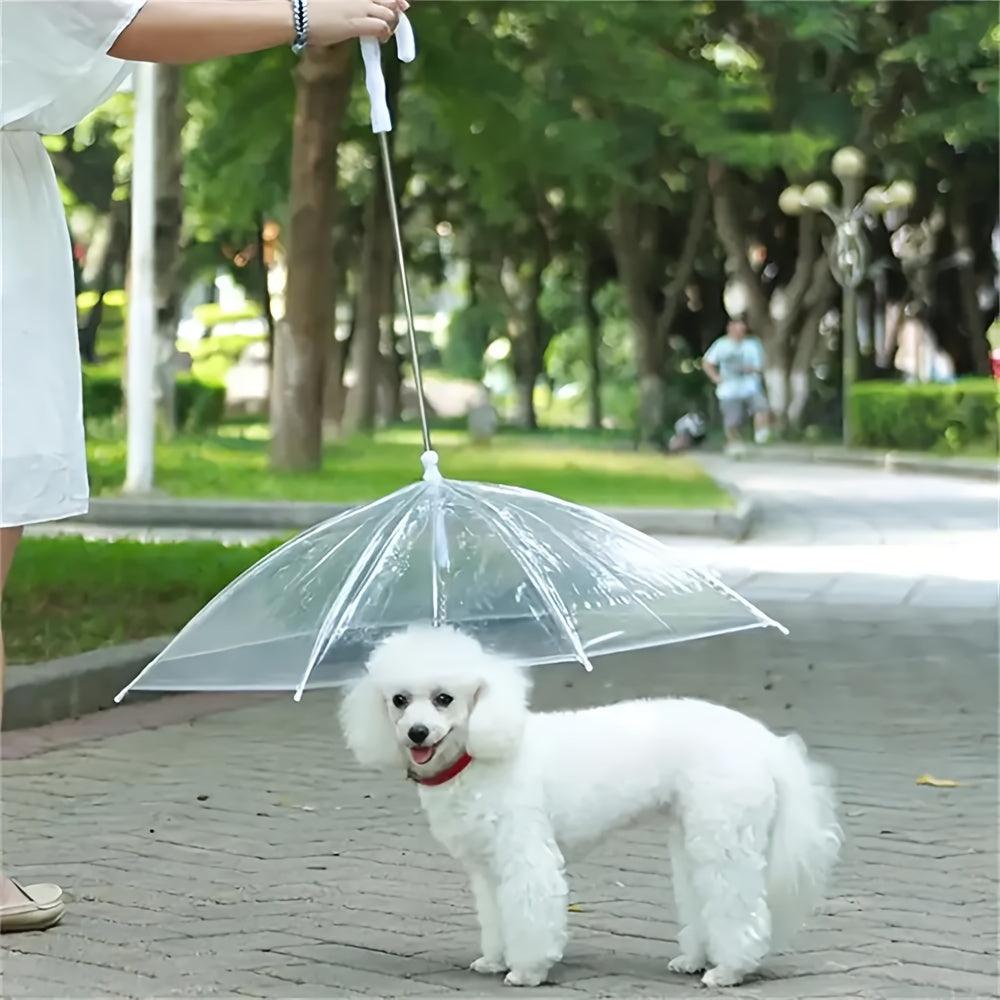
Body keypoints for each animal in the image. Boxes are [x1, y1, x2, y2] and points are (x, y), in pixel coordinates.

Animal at [340, 628, 840, 988]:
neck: (480, 755)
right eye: (398, 701)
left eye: (444, 698)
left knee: (739, 906)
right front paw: (495, 959)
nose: (417, 733)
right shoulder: (488, 867)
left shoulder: (526, 855)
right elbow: (496, 916)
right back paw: (697, 959)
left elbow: (531, 913)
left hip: (724, 835)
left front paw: (526, 971)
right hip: (696, 836)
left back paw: (730, 970)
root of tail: (766, 746)